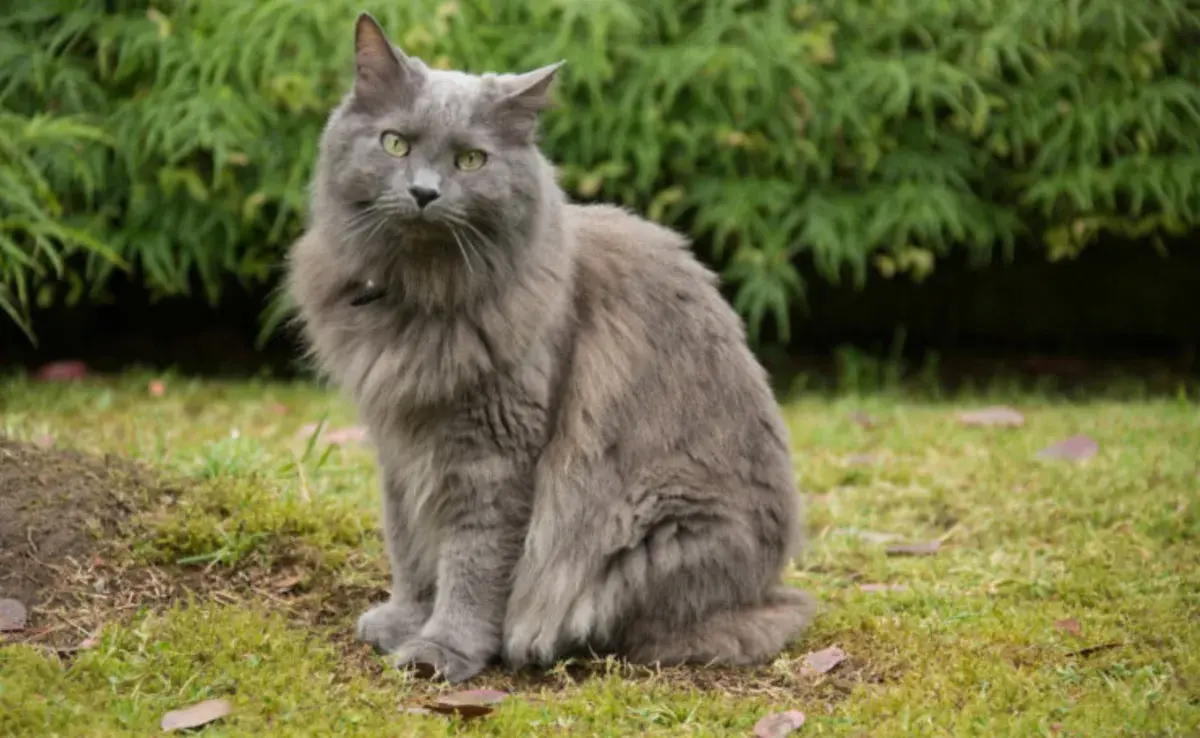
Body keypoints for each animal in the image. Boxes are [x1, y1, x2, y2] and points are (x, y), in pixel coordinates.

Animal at [288, 11, 816, 686]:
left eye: (470, 159)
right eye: (395, 145)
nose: (425, 192)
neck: (420, 299)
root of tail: (765, 589)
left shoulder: (495, 453)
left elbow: (472, 562)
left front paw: (443, 650)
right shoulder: (401, 446)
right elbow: (409, 546)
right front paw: (405, 621)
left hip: (653, 528)